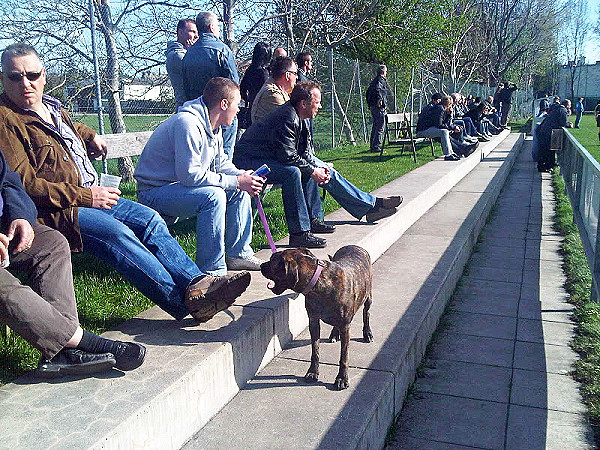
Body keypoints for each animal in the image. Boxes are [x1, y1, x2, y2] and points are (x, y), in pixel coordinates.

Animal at [260, 244, 372, 388]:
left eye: (272, 260)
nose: (261, 265)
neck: (319, 281)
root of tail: (354, 246)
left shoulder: (345, 326)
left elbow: (344, 355)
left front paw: (342, 378)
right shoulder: (313, 321)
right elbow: (315, 350)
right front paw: (312, 372)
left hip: (368, 297)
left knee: (366, 313)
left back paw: (367, 333)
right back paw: (334, 334)